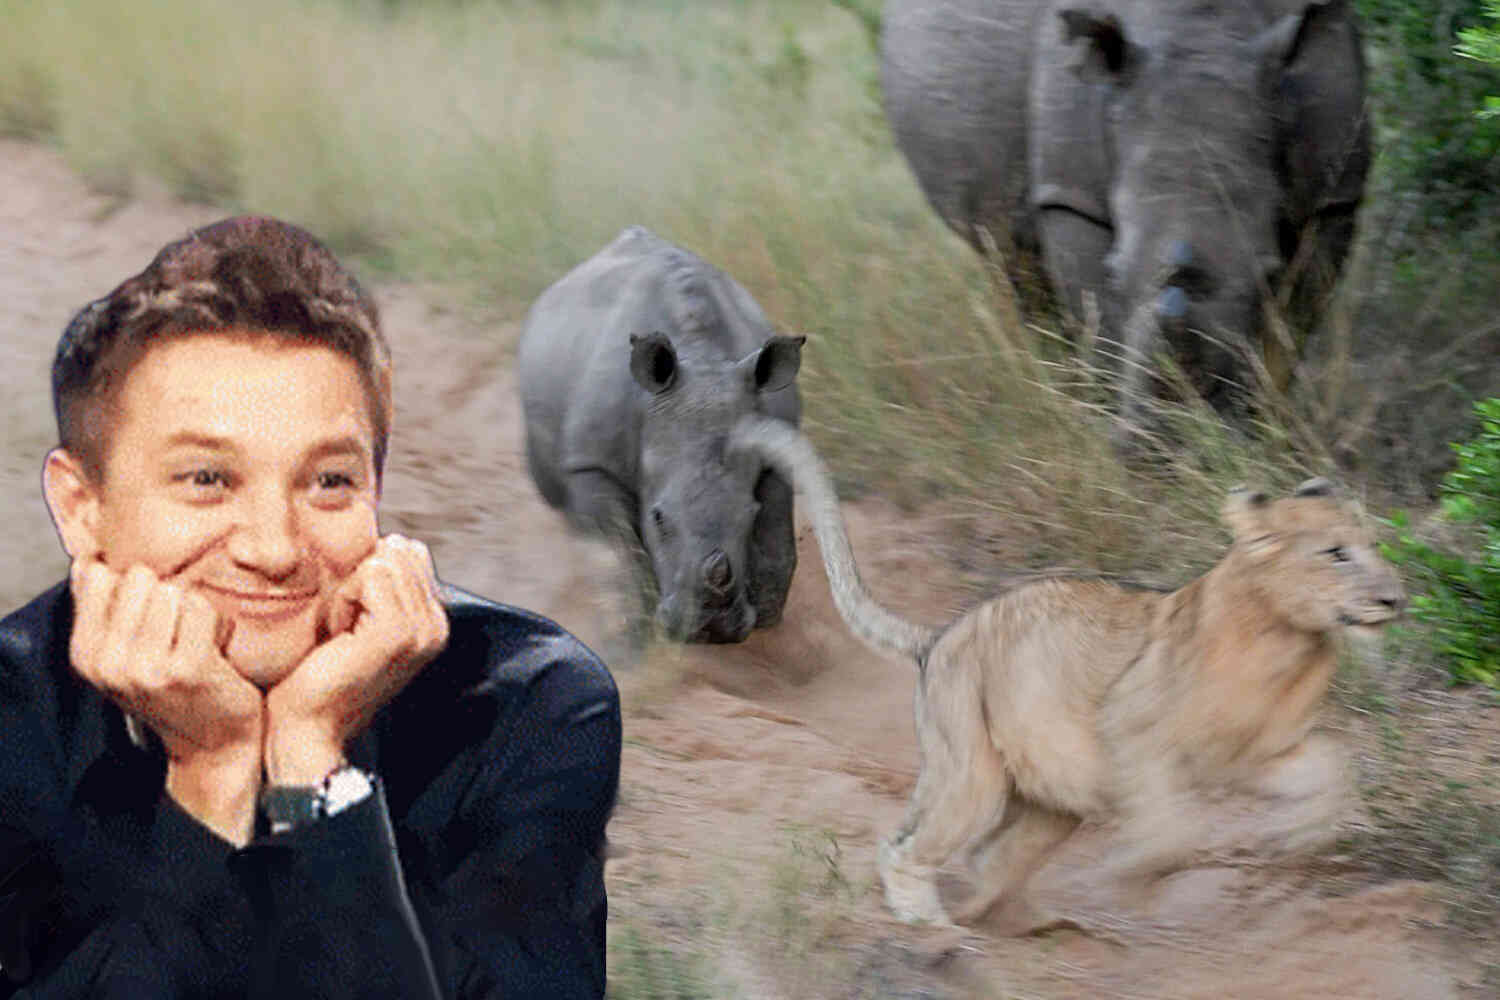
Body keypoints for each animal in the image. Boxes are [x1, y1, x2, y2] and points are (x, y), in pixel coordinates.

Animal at [518, 226, 804, 643]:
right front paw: (633, 633)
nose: (711, 630)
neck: (702, 357)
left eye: (750, 515)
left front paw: (767, 617)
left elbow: (777, 542)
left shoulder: (778, 446)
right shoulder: (592, 463)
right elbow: (620, 556)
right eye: (658, 518)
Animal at [729, 413, 1406, 930]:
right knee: (907, 848)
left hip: (1045, 806)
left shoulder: (1258, 755)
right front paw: (1133, 876)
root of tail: (941, 634)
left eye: (1375, 544)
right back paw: (933, 925)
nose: (1396, 598)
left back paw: (1016, 918)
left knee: (985, 855)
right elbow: (1171, 832)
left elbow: (1333, 766)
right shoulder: (1133, 729)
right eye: (1336, 553)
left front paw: (1302, 838)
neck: (1290, 645)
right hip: (972, 773)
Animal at [882, 0, 1370, 427]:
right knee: (1012, 264)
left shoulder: (1333, 196)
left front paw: (1259, 432)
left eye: (1268, 276)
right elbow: (1095, 318)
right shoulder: (1071, 194)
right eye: (1114, 271)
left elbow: (1289, 335)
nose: (1169, 447)